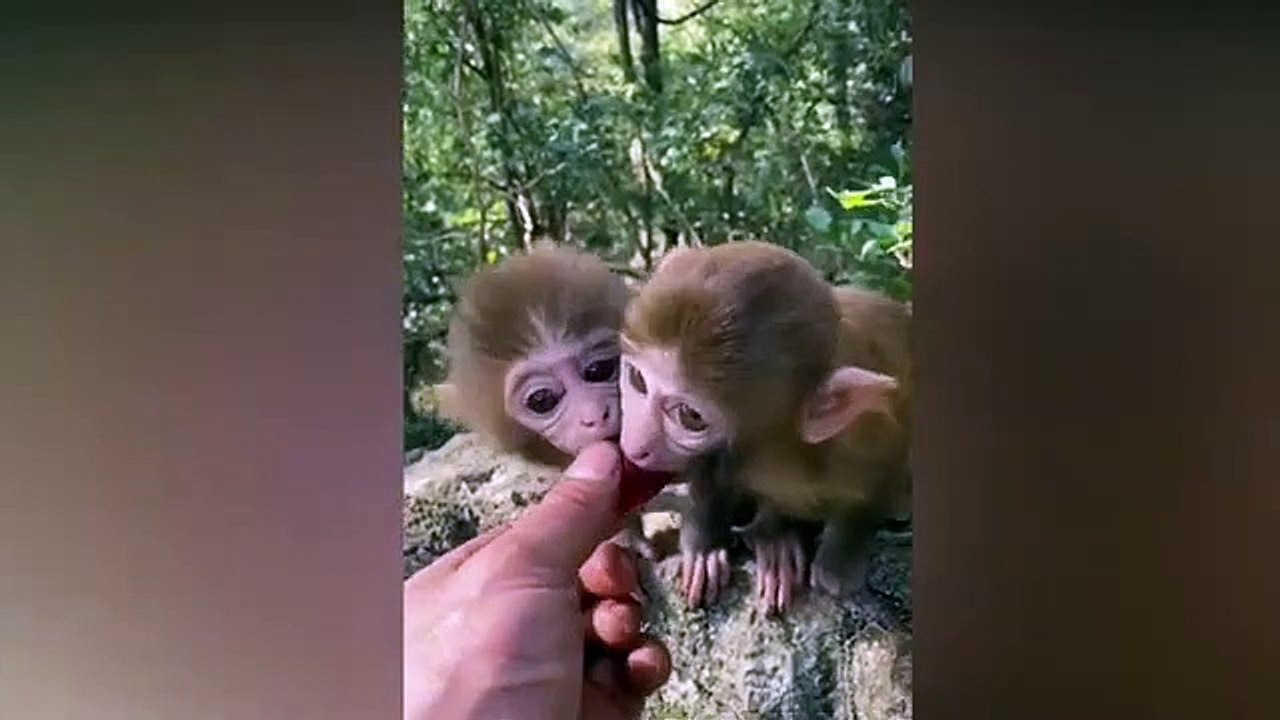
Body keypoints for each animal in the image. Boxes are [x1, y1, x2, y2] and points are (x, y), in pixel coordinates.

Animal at [617, 240, 912, 613]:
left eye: (690, 416)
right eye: (637, 380)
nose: (634, 444)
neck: (779, 450)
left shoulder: (869, 434)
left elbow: (880, 482)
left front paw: (840, 556)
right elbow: (710, 471)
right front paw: (706, 544)